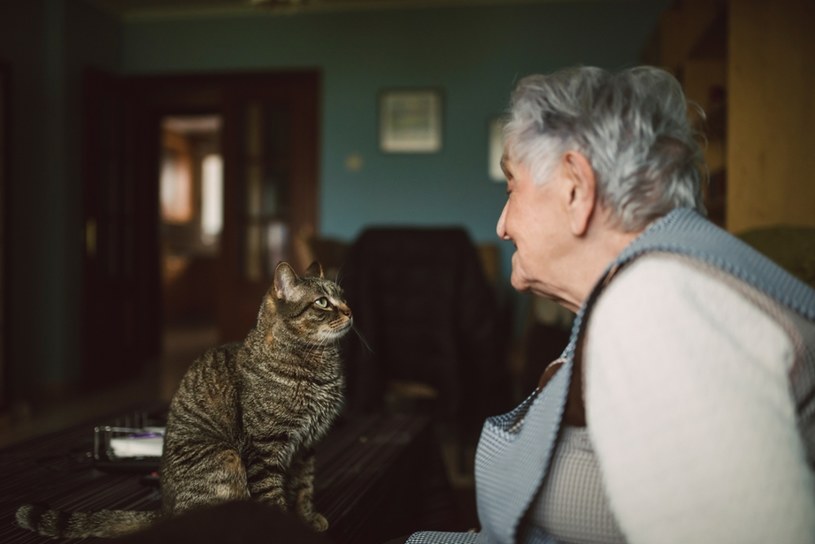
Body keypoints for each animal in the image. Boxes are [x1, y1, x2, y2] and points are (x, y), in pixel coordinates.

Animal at [16, 262, 350, 536]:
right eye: (322, 302)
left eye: (343, 296)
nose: (349, 311)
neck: (318, 365)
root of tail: (166, 510)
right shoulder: (265, 450)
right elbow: (271, 496)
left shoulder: (306, 446)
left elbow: (304, 488)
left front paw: (306, 519)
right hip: (226, 456)